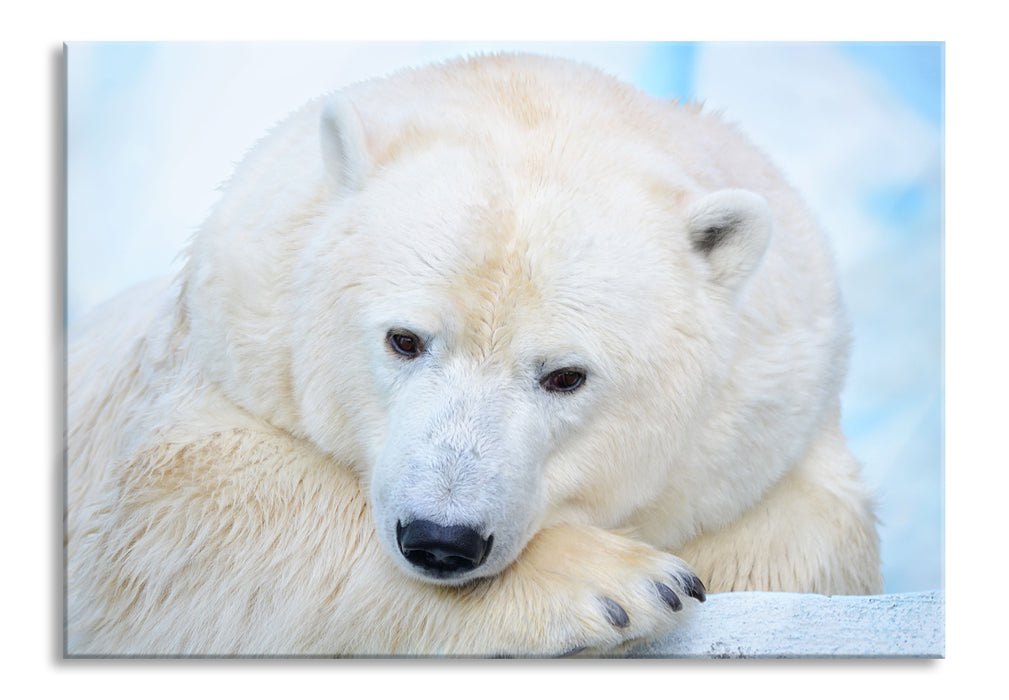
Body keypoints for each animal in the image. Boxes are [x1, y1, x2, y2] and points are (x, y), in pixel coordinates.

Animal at [65, 53, 883, 657]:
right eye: (403, 339)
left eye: (565, 375)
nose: (441, 539)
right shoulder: (221, 348)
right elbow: (187, 514)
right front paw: (619, 584)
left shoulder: (766, 419)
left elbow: (813, 538)